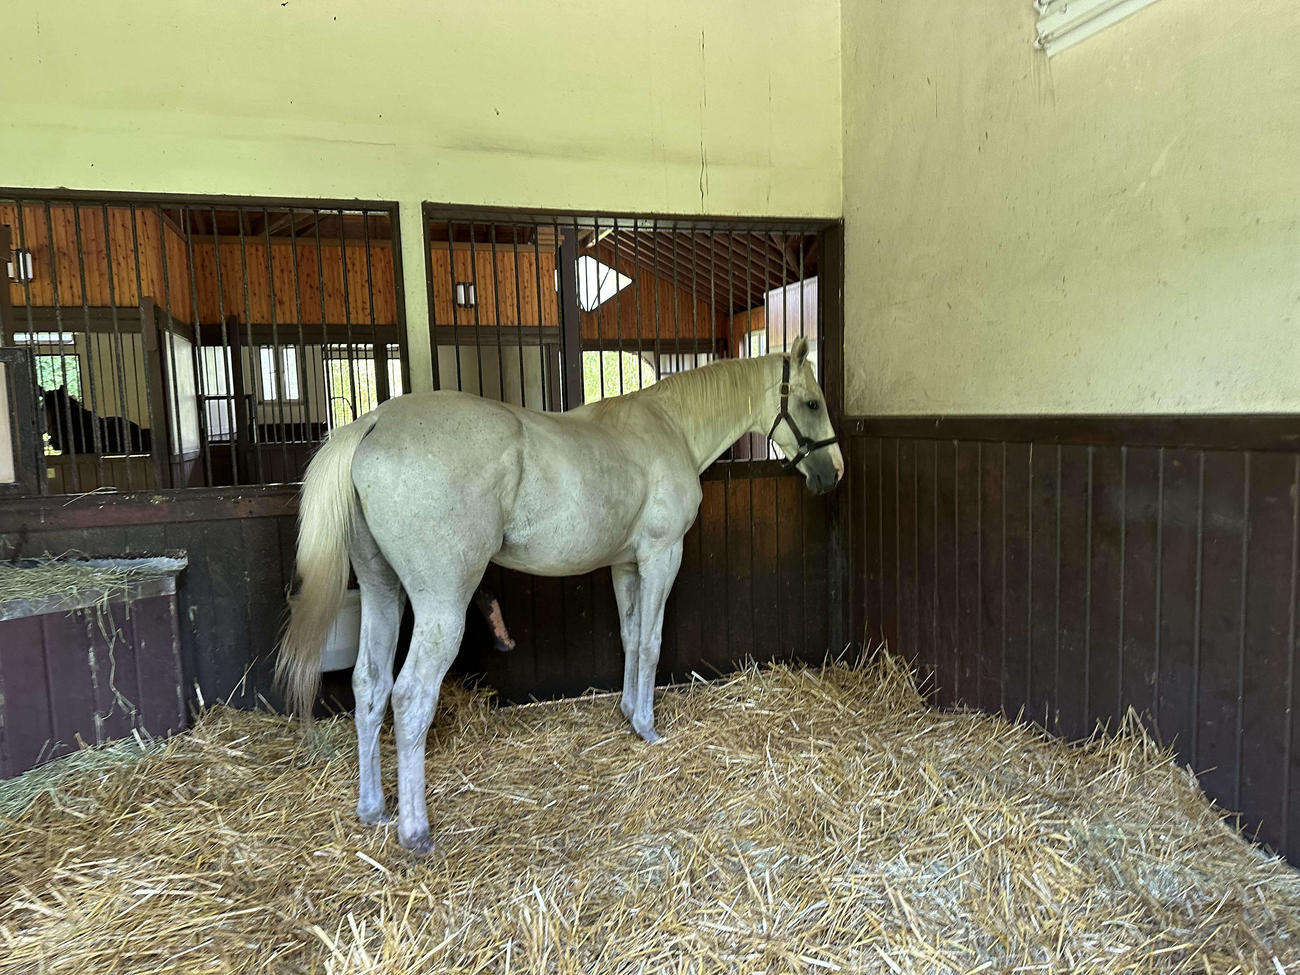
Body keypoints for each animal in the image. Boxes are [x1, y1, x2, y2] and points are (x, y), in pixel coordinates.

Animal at [276, 336, 842, 853]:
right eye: (812, 403)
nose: (832, 475)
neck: (670, 427)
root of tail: (372, 423)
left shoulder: (624, 565)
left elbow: (630, 638)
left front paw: (630, 715)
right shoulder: (661, 557)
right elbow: (651, 643)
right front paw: (649, 728)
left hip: (381, 591)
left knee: (369, 685)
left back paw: (373, 808)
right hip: (441, 605)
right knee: (411, 695)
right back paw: (415, 833)